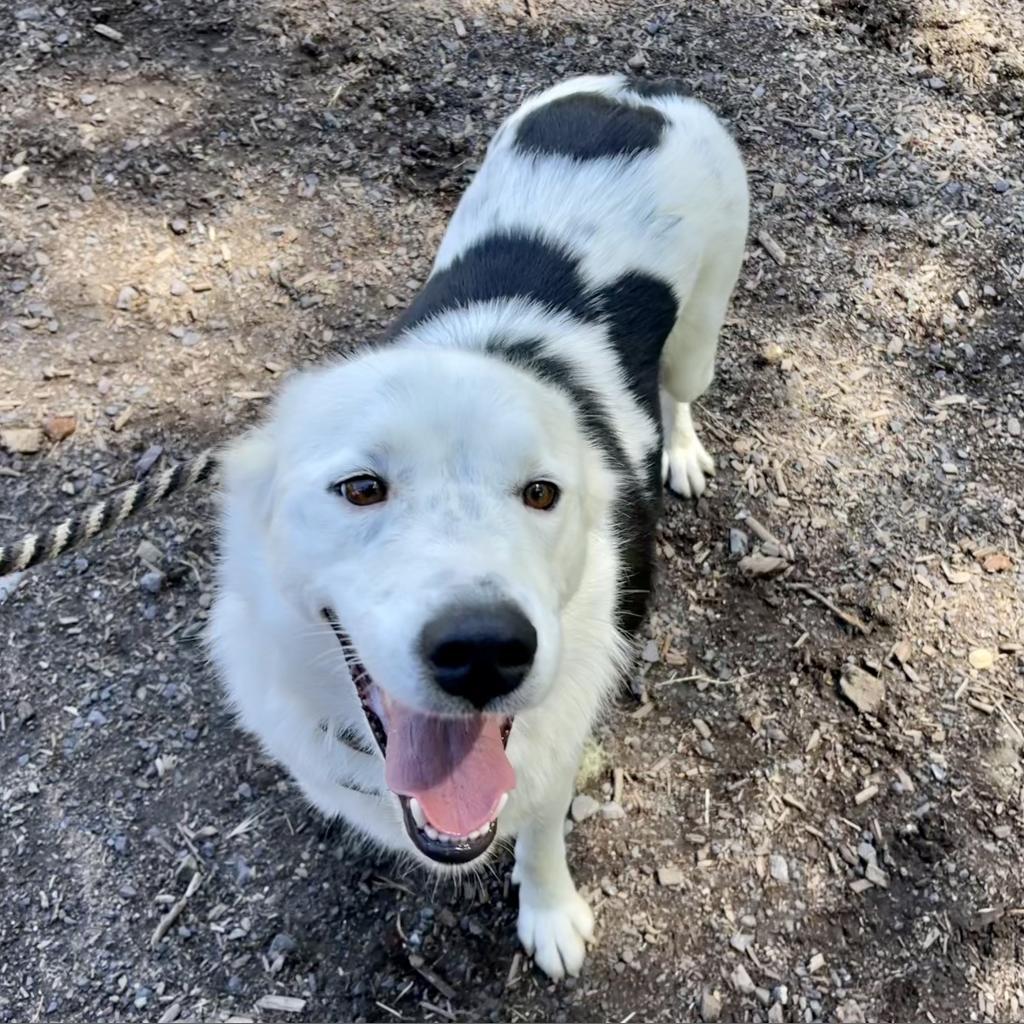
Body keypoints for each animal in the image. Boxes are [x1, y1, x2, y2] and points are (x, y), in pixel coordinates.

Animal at [209, 75, 753, 978]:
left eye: (541, 493)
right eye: (361, 488)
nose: (483, 650)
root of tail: (635, 90)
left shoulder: (557, 742)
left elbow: (541, 832)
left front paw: (551, 913)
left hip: (702, 327)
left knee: (679, 390)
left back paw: (678, 451)